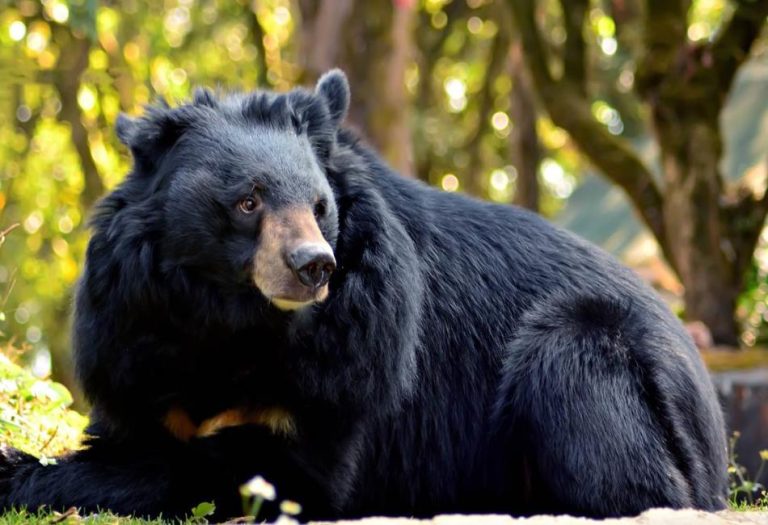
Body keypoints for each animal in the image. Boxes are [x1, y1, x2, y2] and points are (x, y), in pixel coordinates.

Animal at [0, 70, 728, 520]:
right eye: (247, 201)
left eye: (320, 208)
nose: (313, 267)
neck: (235, 317)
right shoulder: (127, 323)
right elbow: (142, 415)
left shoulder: (356, 349)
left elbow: (281, 467)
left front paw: (33, 475)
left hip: (590, 352)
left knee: (632, 477)